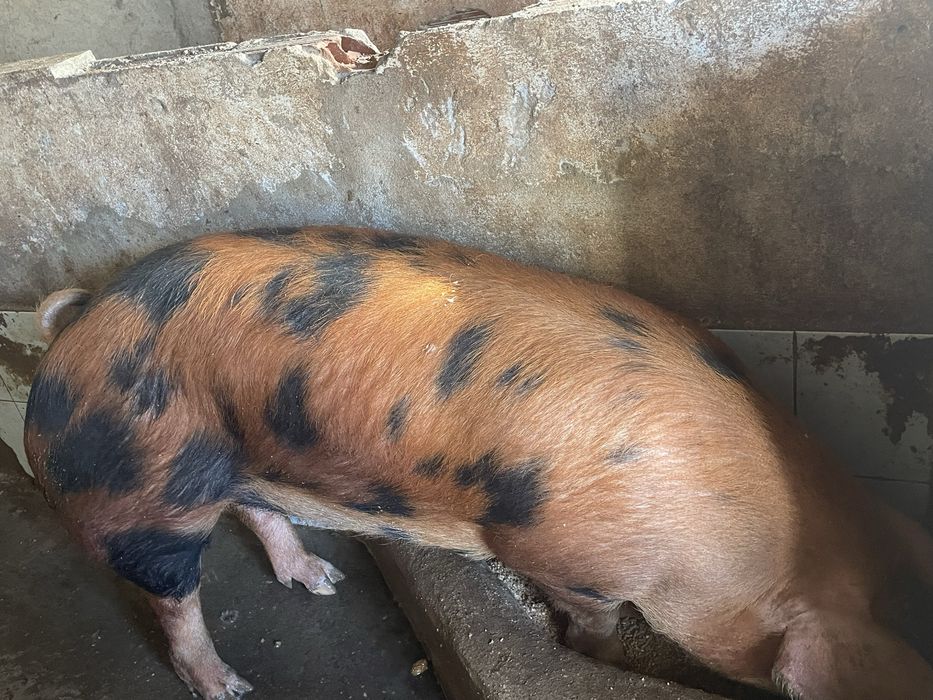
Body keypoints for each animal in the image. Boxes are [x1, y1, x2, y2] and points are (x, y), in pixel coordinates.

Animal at [24, 226, 933, 699]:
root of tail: (81, 317)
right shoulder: (567, 561)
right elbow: (591, 621)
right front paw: (593, 657)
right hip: (136, 488)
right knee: (172, 595)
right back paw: (228, 687)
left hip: (236, 455)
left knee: (256, 508)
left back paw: (322, 581)